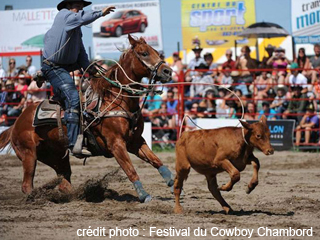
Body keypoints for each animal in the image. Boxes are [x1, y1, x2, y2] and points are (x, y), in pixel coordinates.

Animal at [0, 34, 174, 202]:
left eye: (157, 53)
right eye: (144, 53)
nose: (168, 71)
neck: (115, 100)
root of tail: (17, 122)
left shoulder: (136, 141)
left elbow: (156, 160)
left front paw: (172, 182)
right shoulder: (116, 144)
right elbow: (130, 170)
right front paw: (144, 195)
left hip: (56, 157)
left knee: (64, 182)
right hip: (29, 154)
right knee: (27, 185)